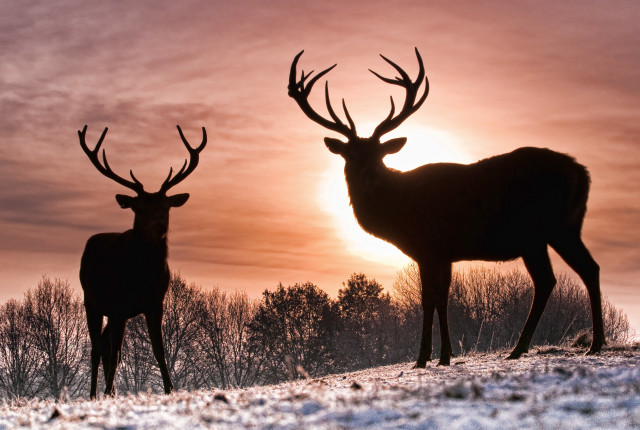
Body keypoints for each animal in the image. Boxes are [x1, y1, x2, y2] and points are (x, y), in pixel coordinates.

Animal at [78, 124, 206, 398]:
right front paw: (106, 392)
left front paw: (170, 389)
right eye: (139, 209)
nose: (158, 227)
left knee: (104, 344)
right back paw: (95, 393)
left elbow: (159, 349)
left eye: (166, 207)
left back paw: (110, 391)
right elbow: (116, 353)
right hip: (91, 301)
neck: (141, 275)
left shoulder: (155, 303)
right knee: (98, 348)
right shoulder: (117, 305)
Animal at [288, 48, 605, 367]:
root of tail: (582, 172)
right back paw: (593, 344)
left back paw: (522, 348)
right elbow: (444, 298)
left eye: (380, 153)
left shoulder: (428, 247)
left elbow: (429, 299)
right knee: (587, 268)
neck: (397, 213)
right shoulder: (445, 253)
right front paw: (446, 355)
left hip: (536, 232)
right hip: (565, 227)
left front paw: (423, 357)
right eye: (350, 155)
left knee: (548, 279)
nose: (370, 175)